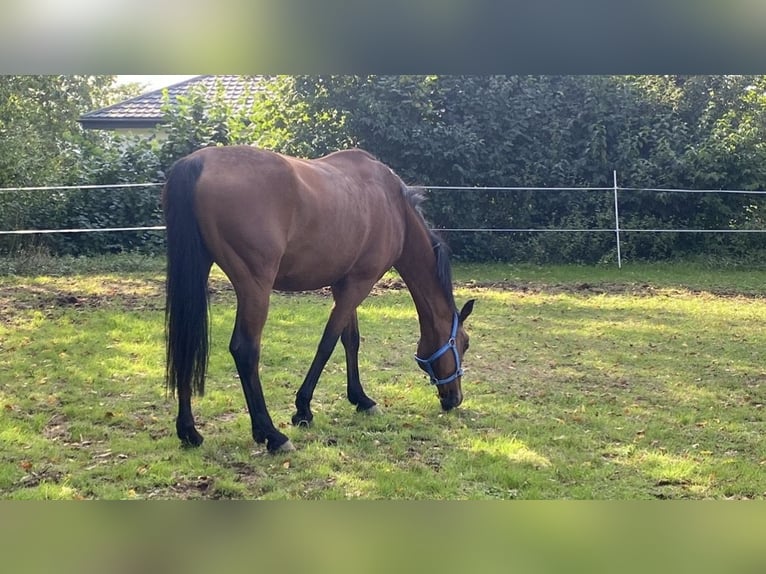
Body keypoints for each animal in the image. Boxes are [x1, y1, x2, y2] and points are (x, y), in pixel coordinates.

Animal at [163, 145, 475, 453]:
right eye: (465, 343)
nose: (455, 399)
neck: (394, 206)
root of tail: (198, 162)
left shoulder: (344, 284)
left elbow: (351, 340)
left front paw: (360, 398)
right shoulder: (359, 284)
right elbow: (328, 343)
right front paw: (303, 409)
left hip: (199, 271)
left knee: (186, 343)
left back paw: (189, 431)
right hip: (255, 287)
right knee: (245, 351)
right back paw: (272, 435)